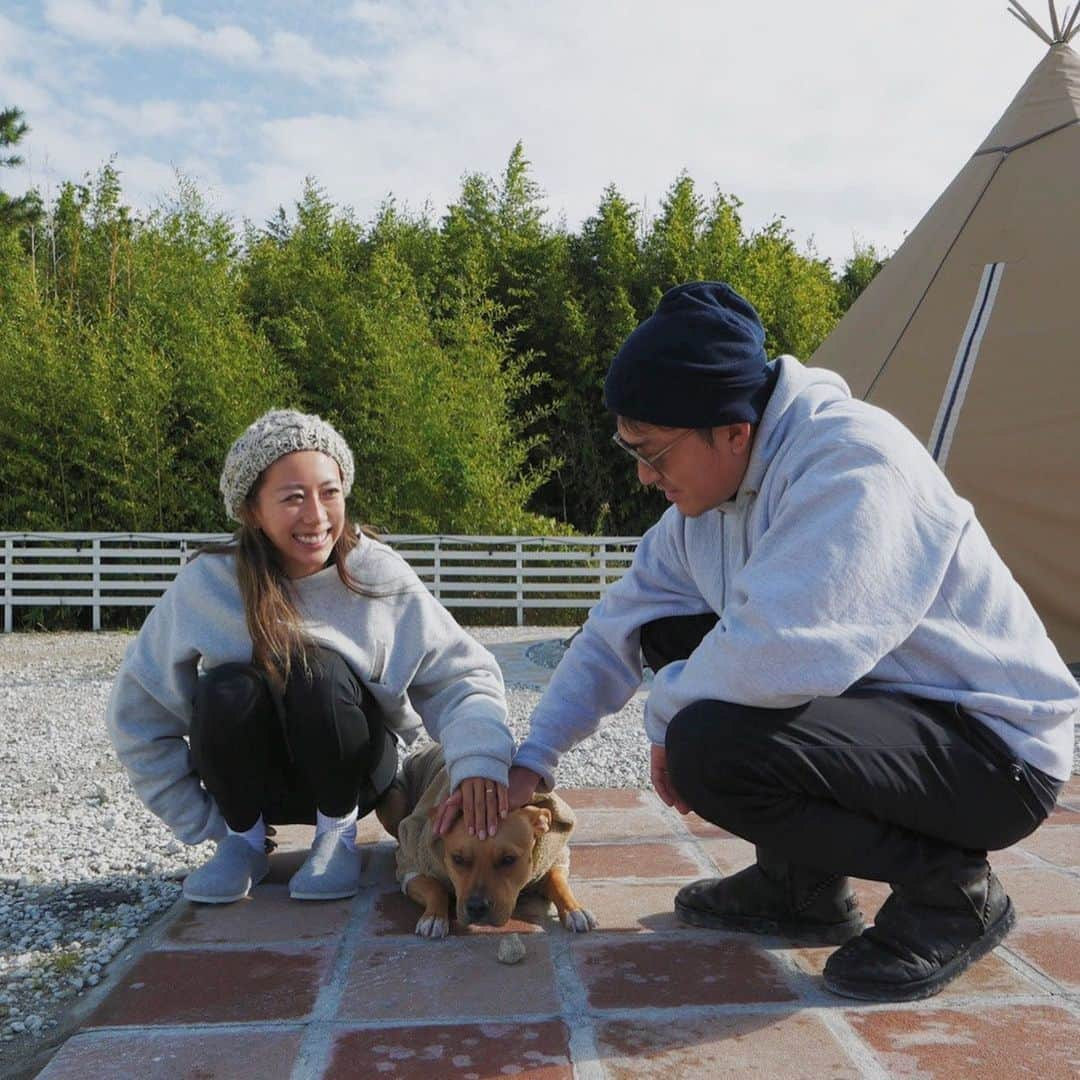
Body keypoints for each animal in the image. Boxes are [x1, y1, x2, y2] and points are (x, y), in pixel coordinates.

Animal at [375, 743, 600, 937]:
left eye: (509, 859)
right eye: (457, 859)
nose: (476, 907)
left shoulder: (555, 858)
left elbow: (558, 882)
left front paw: (575, 910)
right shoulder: (413, 863)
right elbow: (434, 887)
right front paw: (434, 917)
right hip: (392, 799)